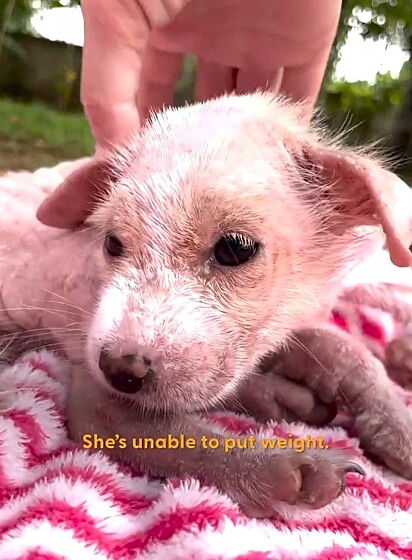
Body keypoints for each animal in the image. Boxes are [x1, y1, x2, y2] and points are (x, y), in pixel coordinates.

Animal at [0, 92, 412, 516]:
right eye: (112, 243)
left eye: (235, 248)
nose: (120, 371)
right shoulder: (93, 385)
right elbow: (163, 434)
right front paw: (280, 469)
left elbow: (338, 345)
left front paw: (398, 427)